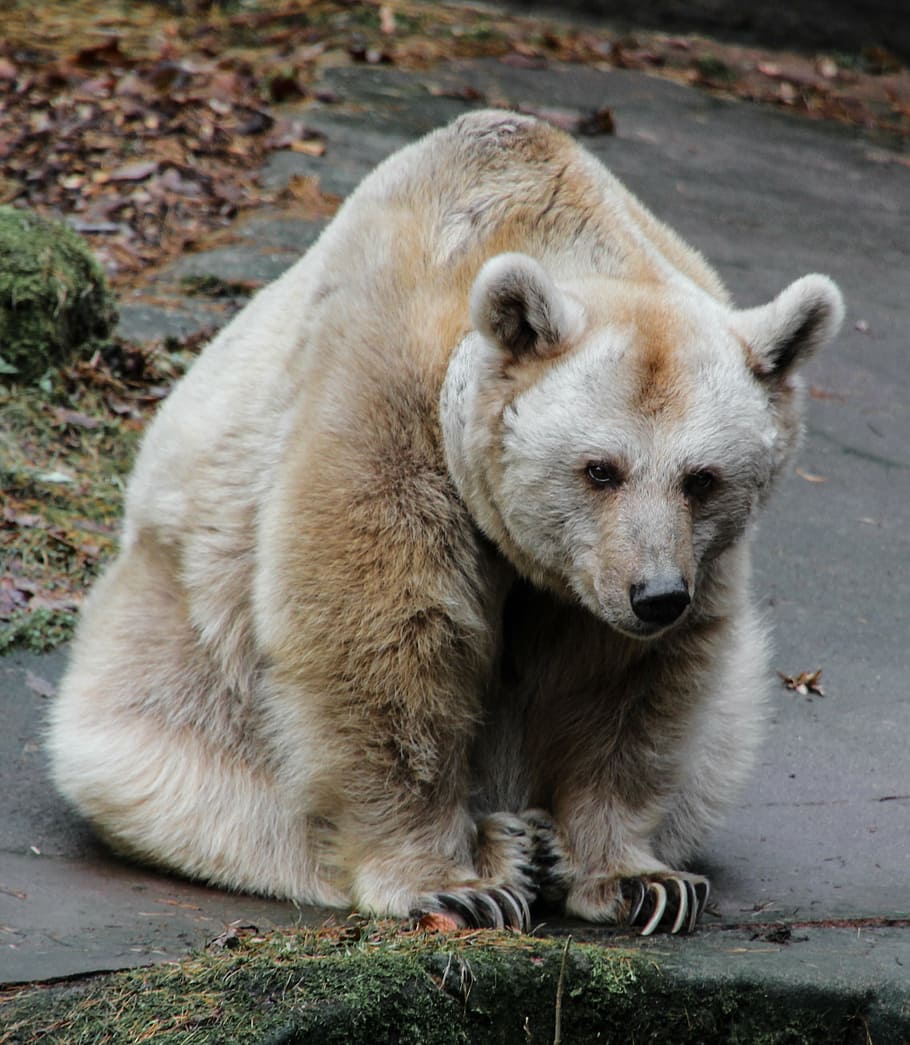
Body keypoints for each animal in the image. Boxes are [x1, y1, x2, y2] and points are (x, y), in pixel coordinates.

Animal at [48, 110, 844, 935]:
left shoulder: (670, 568)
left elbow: (623, 682)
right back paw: (503, 844)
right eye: (600, 468)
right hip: (179, 670)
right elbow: (382, 629)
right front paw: (451, 883)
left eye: (702, 478)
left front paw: (640, 878)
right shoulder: (390, 395)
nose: (655, 595)